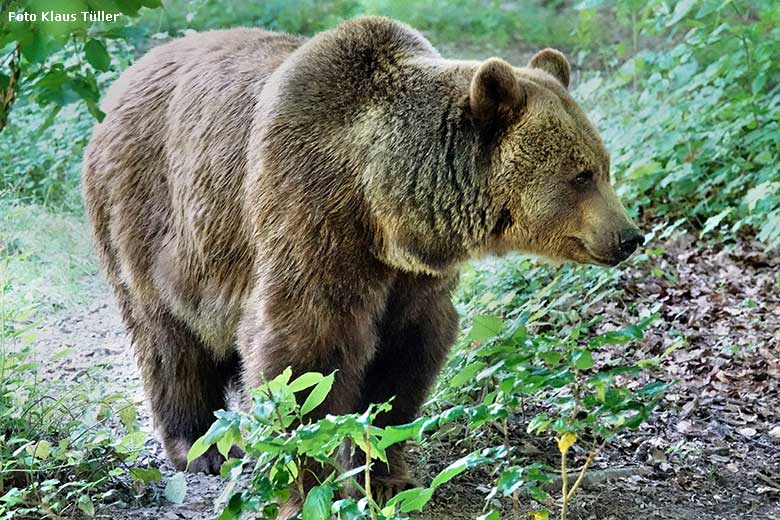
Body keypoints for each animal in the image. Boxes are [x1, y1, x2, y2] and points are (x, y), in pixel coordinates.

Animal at [82, 16, 644, 500]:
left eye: (604, 166)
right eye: (580, 175)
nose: (629, 236)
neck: (380, 203)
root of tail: (123, 80)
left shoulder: (412, 275)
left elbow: (406, 356)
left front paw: (387, 473)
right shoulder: (309, 213)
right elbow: (304, 353)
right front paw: (309, 478)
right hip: (147, 214)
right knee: (168, 339)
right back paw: (202, 447)